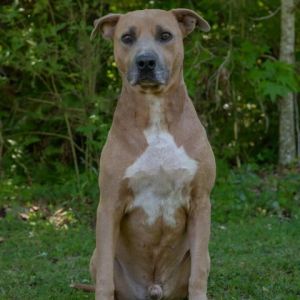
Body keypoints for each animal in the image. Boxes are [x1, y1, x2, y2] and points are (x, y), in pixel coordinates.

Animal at [89, 8, 216, 298]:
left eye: (165, 35)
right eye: (127, 37)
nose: (145, 61)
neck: (156, 114)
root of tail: (153, 288)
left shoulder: (201, 202)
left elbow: (198, 274)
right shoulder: (109, 204)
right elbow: (104, 278)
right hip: (97, 254)